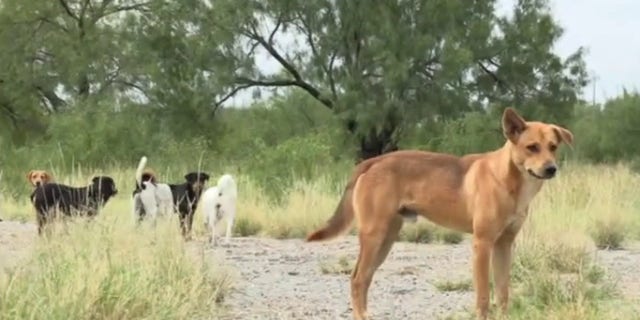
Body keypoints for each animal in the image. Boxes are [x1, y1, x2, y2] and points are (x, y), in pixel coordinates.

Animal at [308, 108, 572, 320]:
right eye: (532, 147)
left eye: (553, 147)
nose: (551, 168)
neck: (509, 180)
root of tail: (372, 161)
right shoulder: (483, 244)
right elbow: (484, 296)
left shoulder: (504, 245)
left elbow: (503, 292)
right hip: (374, 236)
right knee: (357, 279)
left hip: (385, 240)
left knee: (364, 280)